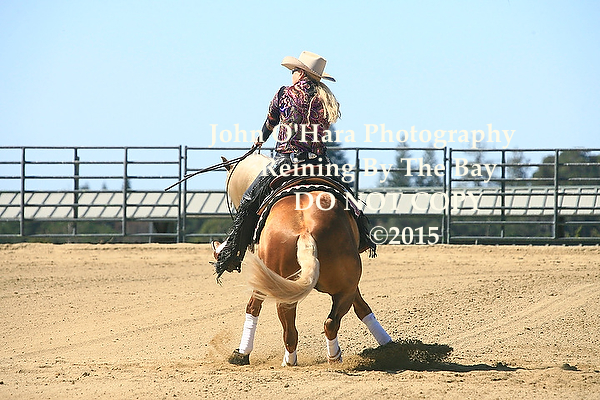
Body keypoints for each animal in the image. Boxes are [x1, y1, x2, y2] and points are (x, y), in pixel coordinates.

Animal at [222, 153, 392, 366]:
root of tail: (305, 231)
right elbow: (361, 307)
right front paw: (387, 343)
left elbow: (253, 307)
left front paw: (241, 353)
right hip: (344, 287)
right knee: (329, 323)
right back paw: (334, 357)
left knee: (291, 331)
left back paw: (292, 361)